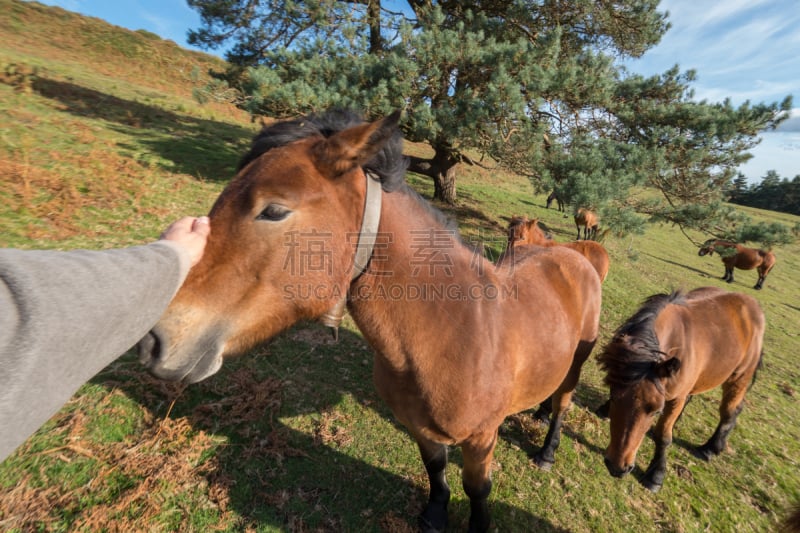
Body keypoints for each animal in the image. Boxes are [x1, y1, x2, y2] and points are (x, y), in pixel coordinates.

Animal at [138, 110, 600, 528]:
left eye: (273, 210)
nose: (154, 340)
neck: (456, 332)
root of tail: (574, 255)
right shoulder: (419, 426)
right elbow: (435, 469)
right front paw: (434, 514)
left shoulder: (481, 438)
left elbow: (477, 490)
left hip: (577, 364)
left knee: (563, 404)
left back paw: (547, 449)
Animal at [600, 288, 764, 492]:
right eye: (614, 397)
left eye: (656, 411)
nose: (617, 467)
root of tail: (752, 304)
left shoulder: (675, 399)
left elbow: (663, 436)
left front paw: (656, 475)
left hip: (739, 377)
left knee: (730, 410)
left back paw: (710, 448)